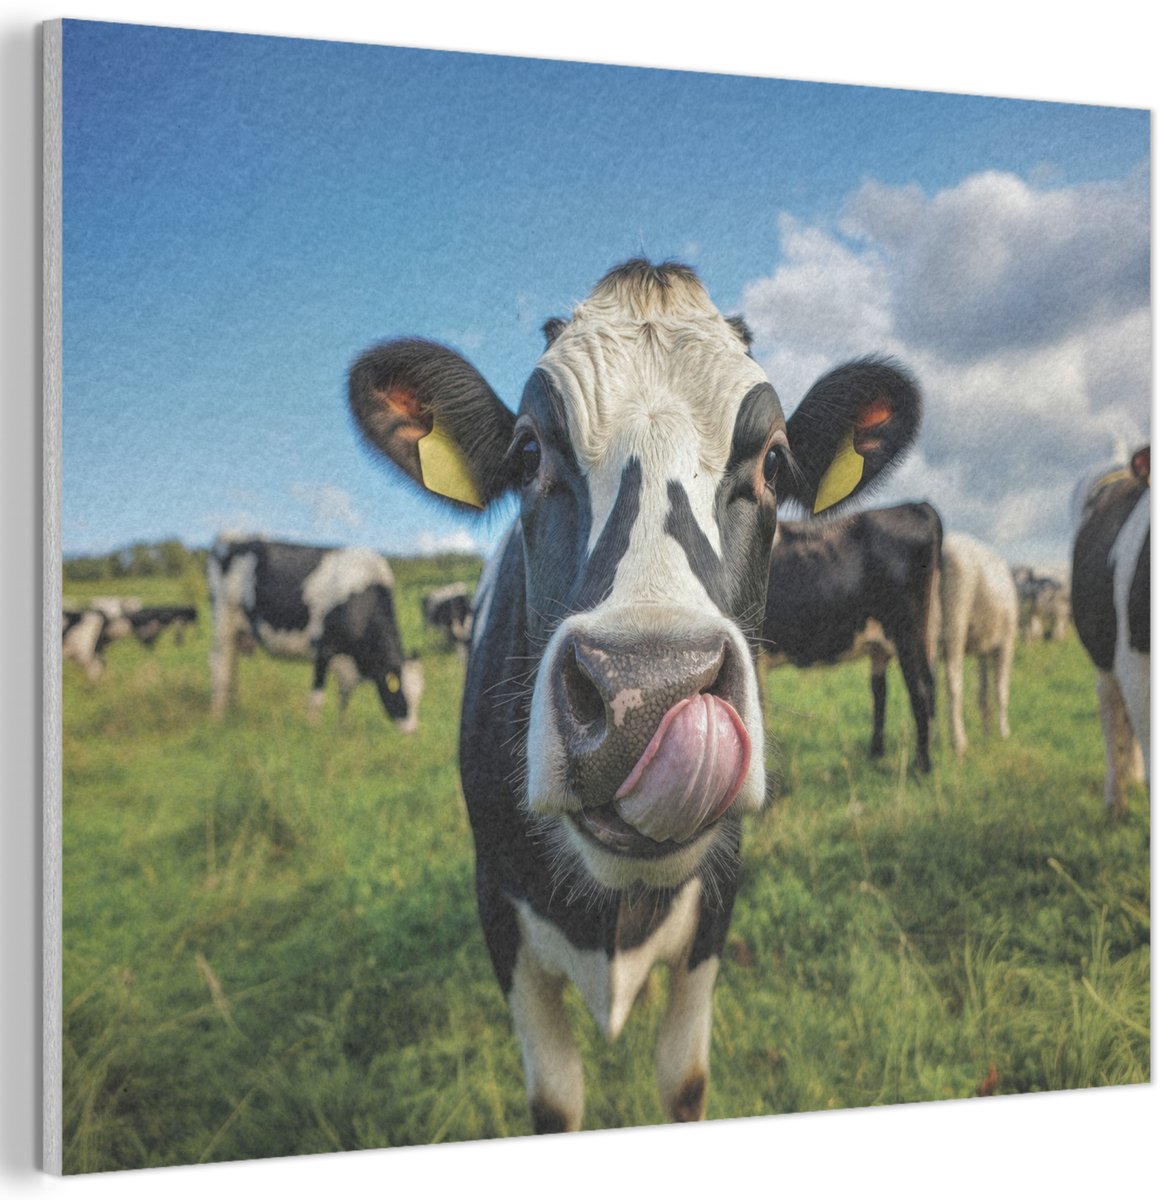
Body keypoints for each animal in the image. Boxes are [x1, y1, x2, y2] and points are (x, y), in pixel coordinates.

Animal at [206, 535, 423, 729]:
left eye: (419, 695)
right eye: (399, 692)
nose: (411, 731)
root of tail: (230, 539)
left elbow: (344, 699)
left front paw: (341, 729)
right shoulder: (324, 649)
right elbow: (318, 696)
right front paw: (313, 729)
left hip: (237, 632)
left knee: (231, 668)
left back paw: (232, 711)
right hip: (222, 623)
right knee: (219, 666)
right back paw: (217, 716)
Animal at [347, 259, 921, 1132]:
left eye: (774, 463)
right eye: (527, 452)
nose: (647, 693)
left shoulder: (717, 902)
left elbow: (683, 1081)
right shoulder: (499, 913)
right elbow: (555, 1100)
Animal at [760, 502, 942, 773]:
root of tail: (917, 506)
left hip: (907, 634)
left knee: (919, 690)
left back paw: (922, 767)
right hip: (916, 637)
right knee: (889, 690)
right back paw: (877, 754)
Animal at [938, 532, 1018, 758]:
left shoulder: (984, 649)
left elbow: (983, 693)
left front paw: (987, 732)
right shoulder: (1007, 643)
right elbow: (1001, 689)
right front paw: (1003, 733)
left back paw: (934, 739)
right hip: (955, 621)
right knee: (953, 681)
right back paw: (958, 743)